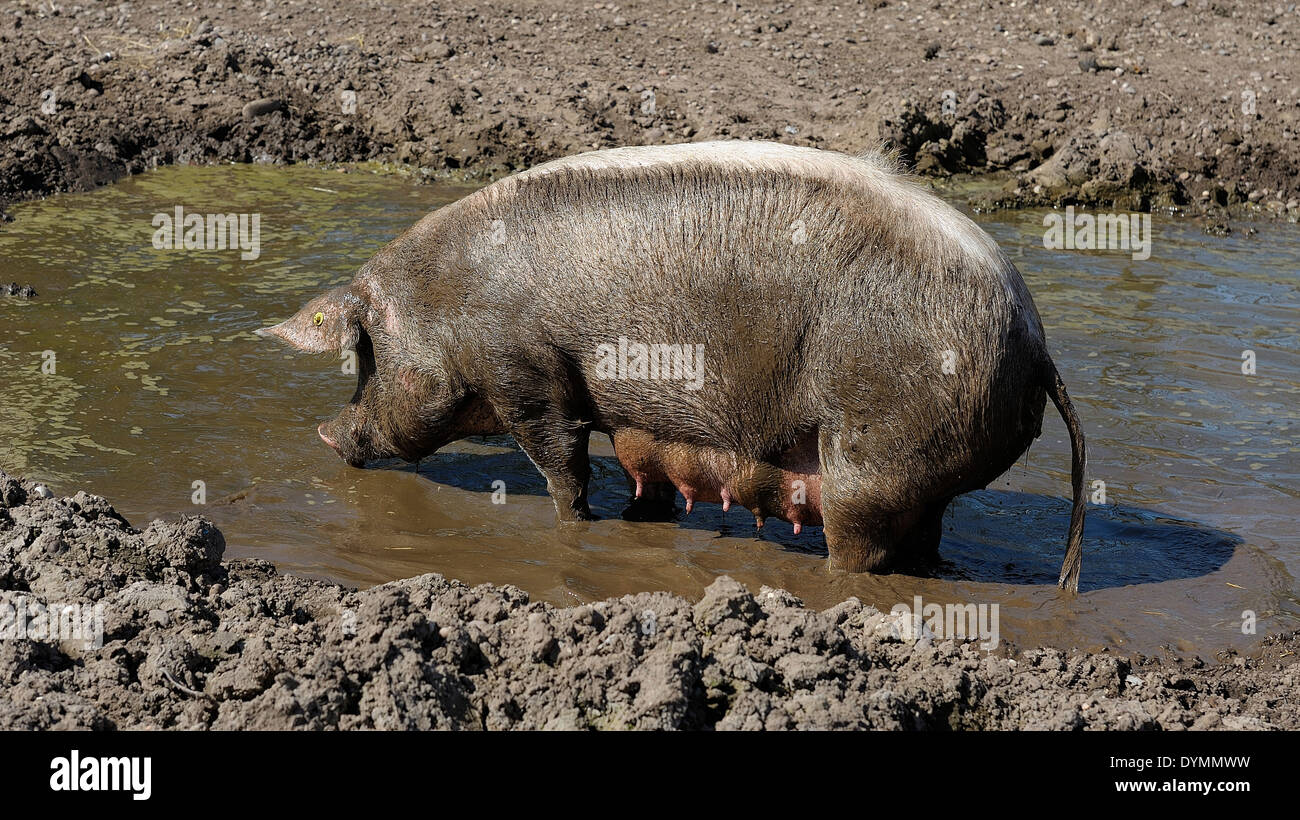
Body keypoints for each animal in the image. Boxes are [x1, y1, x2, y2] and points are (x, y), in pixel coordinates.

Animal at [261, 141, 1087, 590]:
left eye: (367, 358)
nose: (325, 434)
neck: (447, 299)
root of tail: (1037, 343)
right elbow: (638, 467)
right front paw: (638, 518)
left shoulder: (528, 378)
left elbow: (563, 466)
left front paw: (579, 524)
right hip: (921, 477)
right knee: (927, 540)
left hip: (873, 458)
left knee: (859, 547)